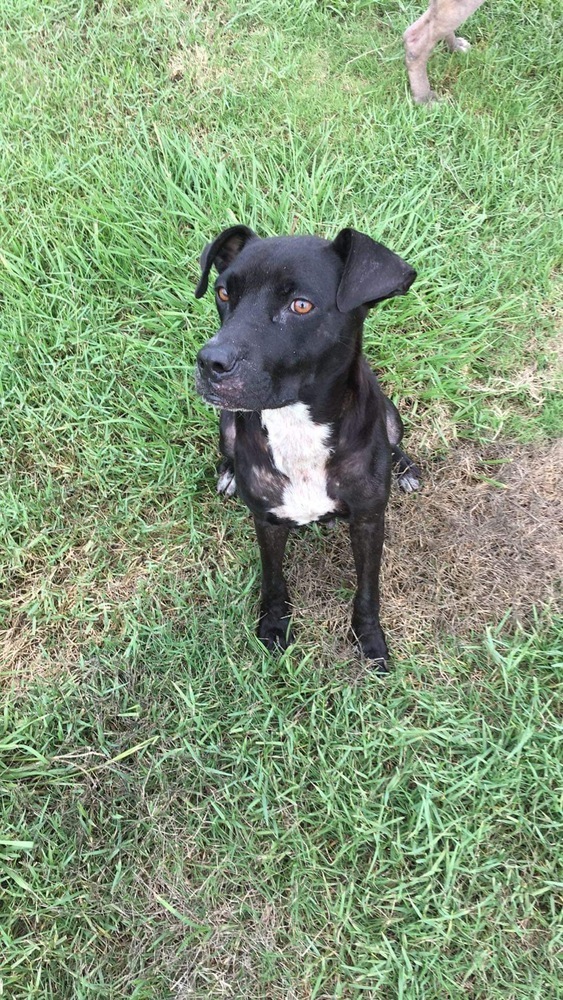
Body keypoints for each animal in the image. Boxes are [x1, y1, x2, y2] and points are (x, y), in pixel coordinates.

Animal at [196, 227, 420, 672]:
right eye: (224, 293)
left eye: (301, 305)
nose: (209, 362)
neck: (297, 426)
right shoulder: (267, 519)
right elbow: (273, 581)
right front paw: (273, 626)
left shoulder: (369, 520)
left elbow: (368, 590)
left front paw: (370, 640)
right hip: (226, 424)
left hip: (391, 415)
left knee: (395, 439)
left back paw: (404, 468)